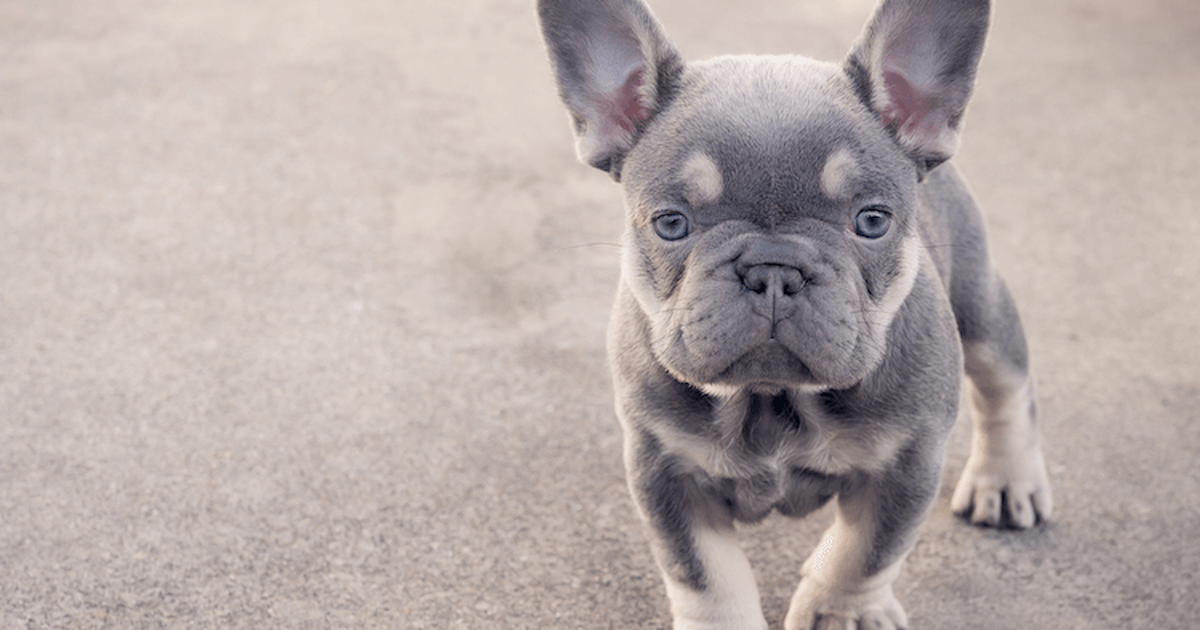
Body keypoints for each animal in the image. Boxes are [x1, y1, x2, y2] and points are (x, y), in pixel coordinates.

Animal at [540, 2, 1056, 624]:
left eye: (872, 221)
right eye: (671, 223)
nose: (774, 270)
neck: (772, 397)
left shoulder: (908, 462)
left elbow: (867, 551)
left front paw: (842, 612)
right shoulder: (664, 468)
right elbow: (703, 572)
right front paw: (722, 620)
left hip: (979, 306)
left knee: (1006, 381)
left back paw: (1005, 480)